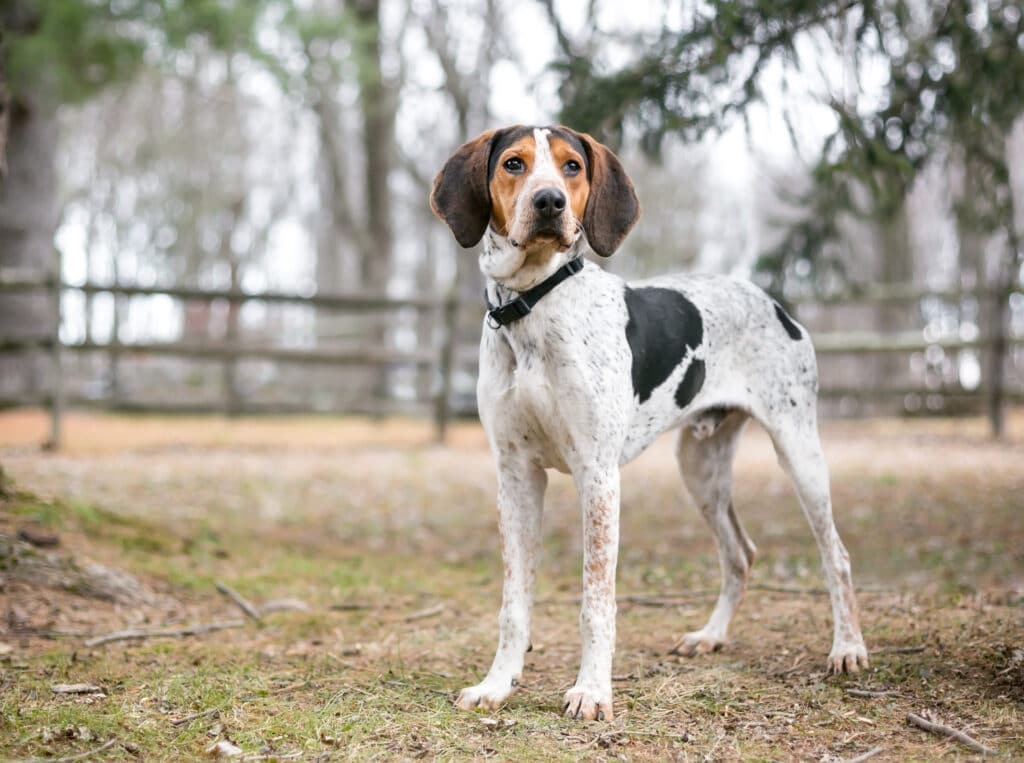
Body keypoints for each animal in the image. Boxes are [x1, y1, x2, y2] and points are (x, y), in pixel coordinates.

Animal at [428, 124, 868, 721]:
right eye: (514, 164)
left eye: (571, 166)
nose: (550, 203)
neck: (533, 305)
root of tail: (773, 302)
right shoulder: (516, 476)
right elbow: (513, 603)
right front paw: (497, 684)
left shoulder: (597, 476)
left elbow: (596, 601)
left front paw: (592, 691)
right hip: (700, 469)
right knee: (740, 554)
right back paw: (711, 635)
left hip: (799, 452)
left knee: (835, 556)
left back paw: (847, 648)